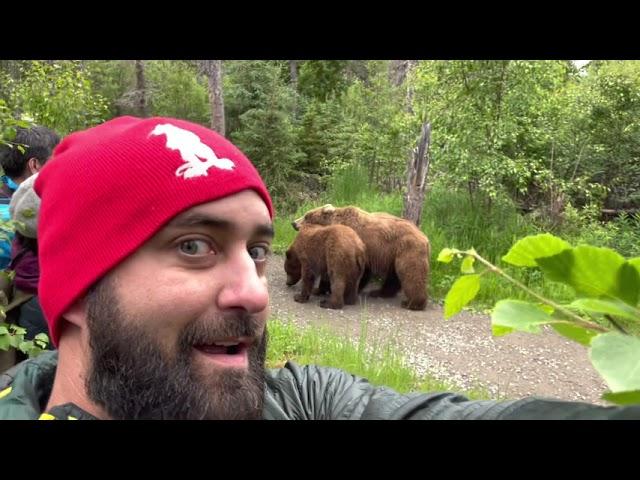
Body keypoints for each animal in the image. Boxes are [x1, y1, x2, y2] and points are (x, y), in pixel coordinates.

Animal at [294, 203, 432, 310]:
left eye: (307, 216)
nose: (293, 223)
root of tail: (425, 238)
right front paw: (319, 289)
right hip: (393, 256)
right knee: (394, 276)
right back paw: (379, 292)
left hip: (407, 250)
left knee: (411, 274)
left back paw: (413, 303)